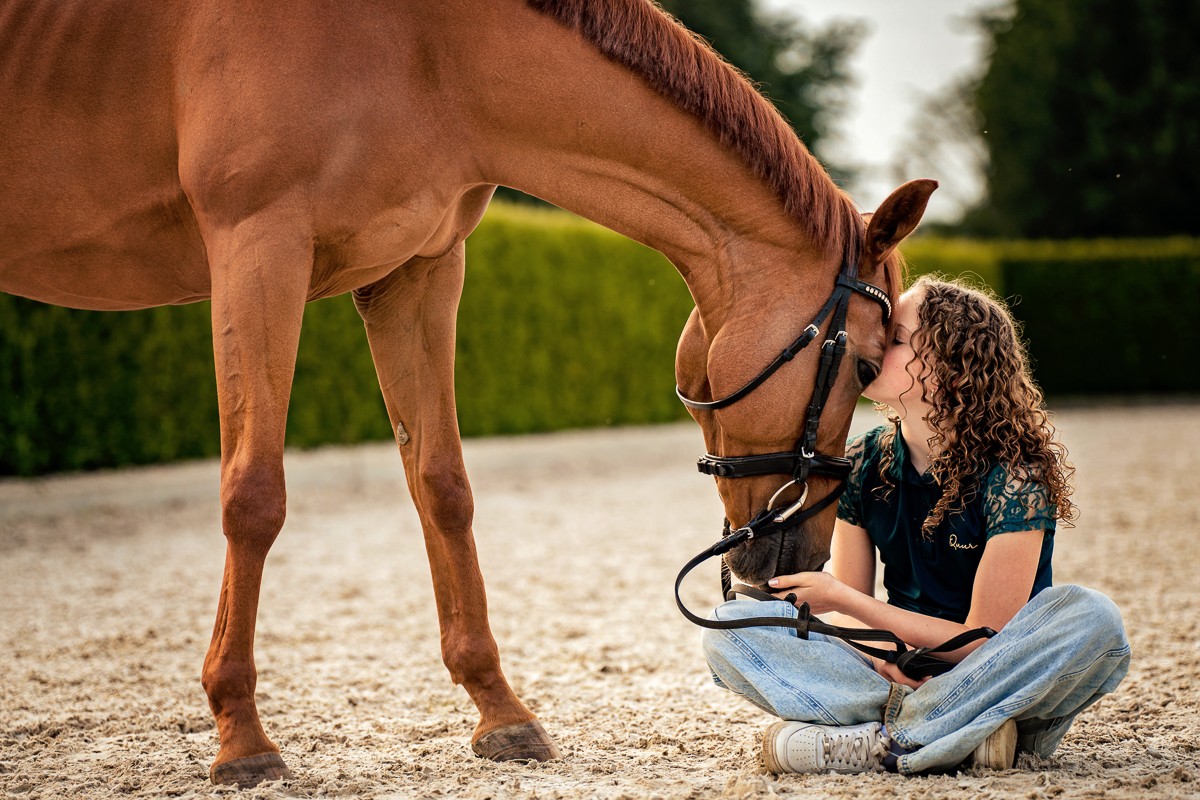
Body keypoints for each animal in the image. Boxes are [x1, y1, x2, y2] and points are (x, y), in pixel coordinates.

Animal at [0, 0, 936, 786]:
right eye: (862, 367)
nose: (807, 555)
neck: (421, 52)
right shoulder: (256, 250)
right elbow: (253, 496)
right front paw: (241, 737)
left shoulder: (417, 274)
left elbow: (443, 487)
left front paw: (501, 713)